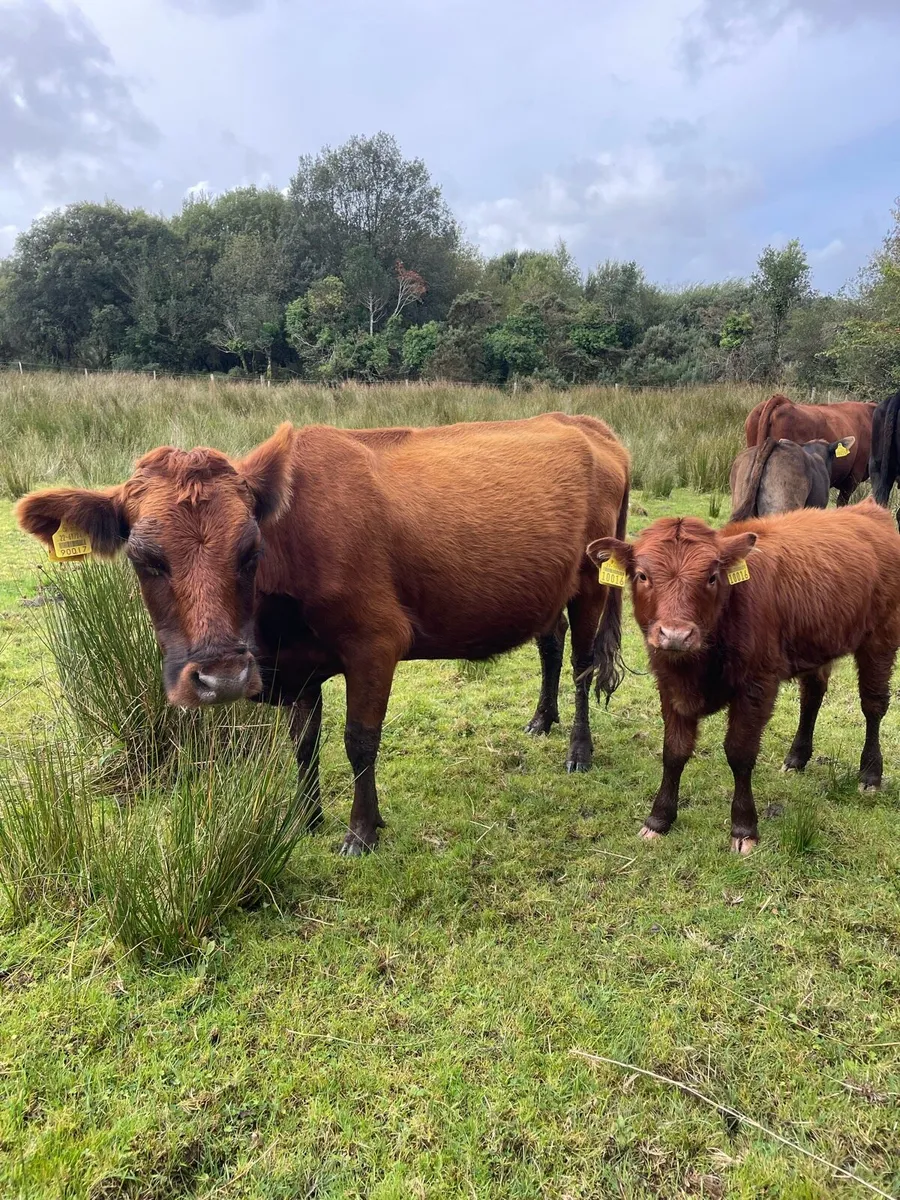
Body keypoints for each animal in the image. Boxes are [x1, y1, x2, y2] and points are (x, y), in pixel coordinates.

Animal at [17, 413, 630, 855]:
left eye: (251, 551)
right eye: (144, 559)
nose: (222, 677)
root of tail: (582, 421)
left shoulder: (376, 642)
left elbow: (358, 741)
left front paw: (362, 831)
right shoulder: (296, 663)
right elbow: (304, 742)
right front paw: (305, 818)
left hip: (591, 585)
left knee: (581, 665)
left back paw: (579, 749)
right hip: (549, 588)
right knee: (550, 645)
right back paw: (542, 719)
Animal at [587, 501, 900, 853]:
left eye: (712, 577)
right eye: (642, 575)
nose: (676, 635)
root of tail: (868, 509)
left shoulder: (757, 686)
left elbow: (740, 752)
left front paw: (744, 827)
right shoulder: (669, 684)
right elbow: (674, 751)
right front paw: (659, 819)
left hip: (881, 637)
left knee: (873, 705)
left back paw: (870, 774)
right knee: (812, 697)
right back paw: (797, 758)